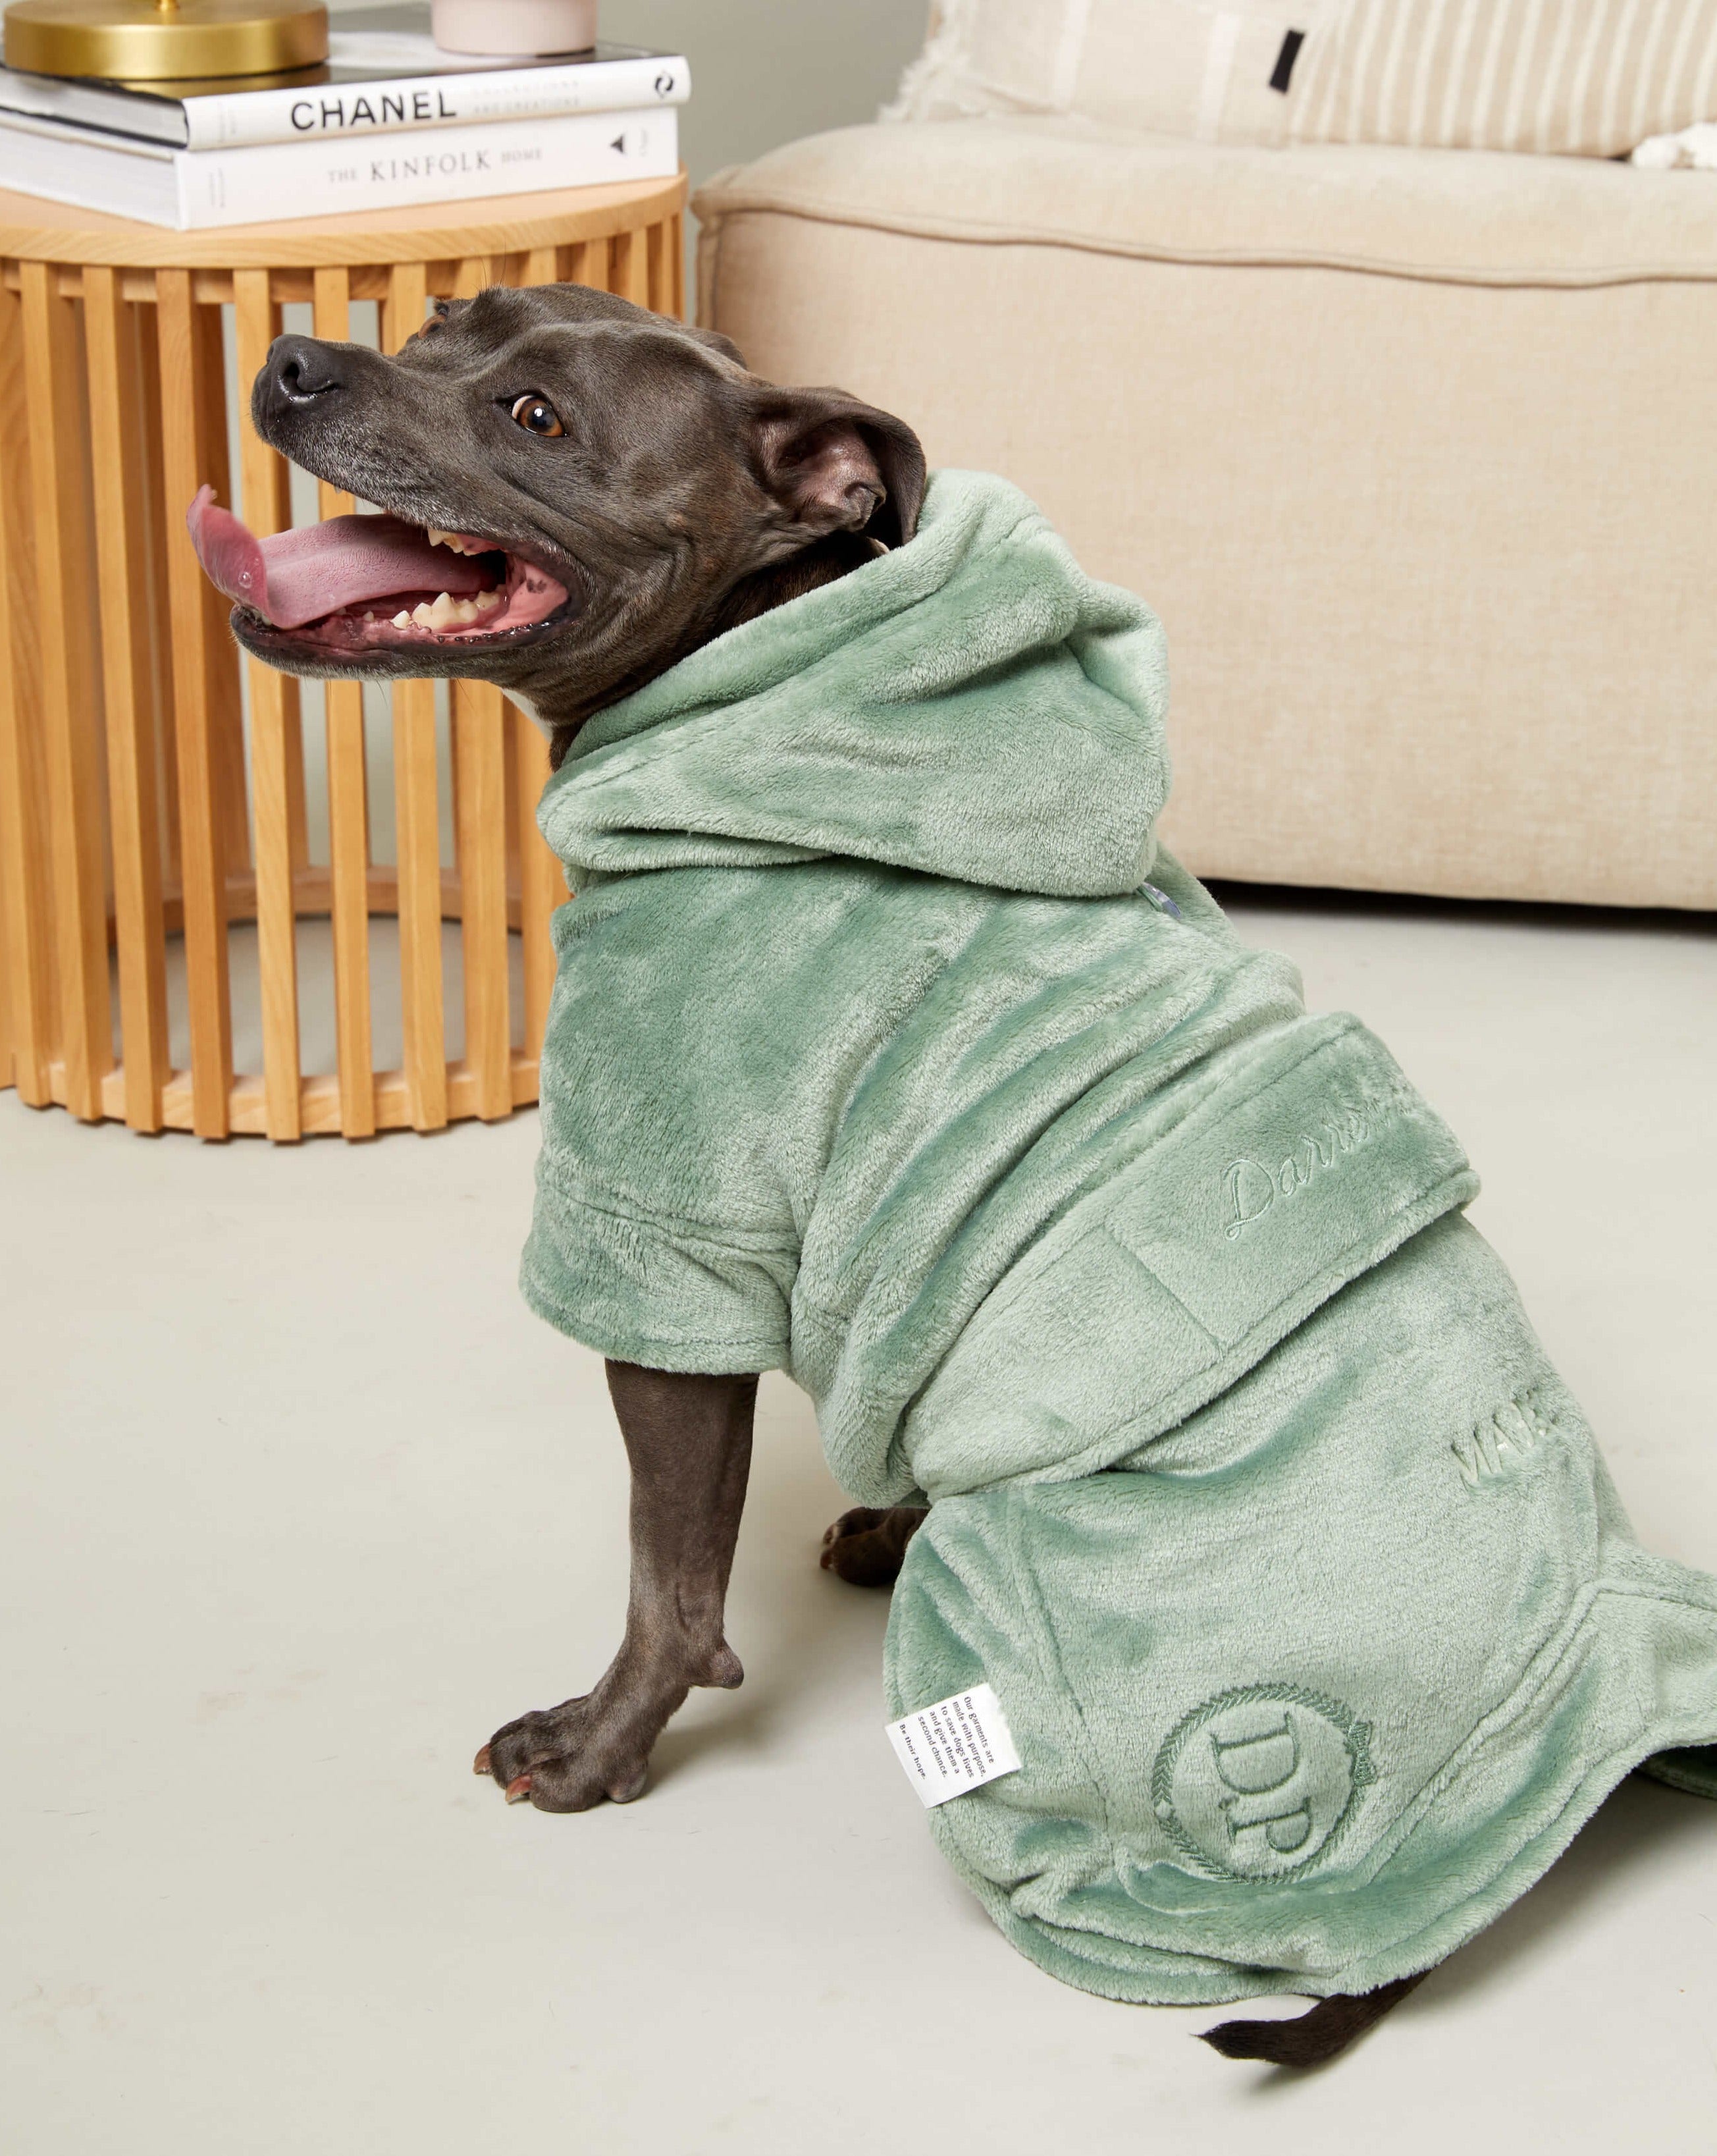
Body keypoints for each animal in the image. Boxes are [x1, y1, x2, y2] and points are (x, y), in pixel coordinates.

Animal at [187, 278, 1421, 2061]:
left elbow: (668, 1575)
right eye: (438, 327)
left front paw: (598, 1744)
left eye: (535, 418)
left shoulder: (662, 1250)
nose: (292, 359)